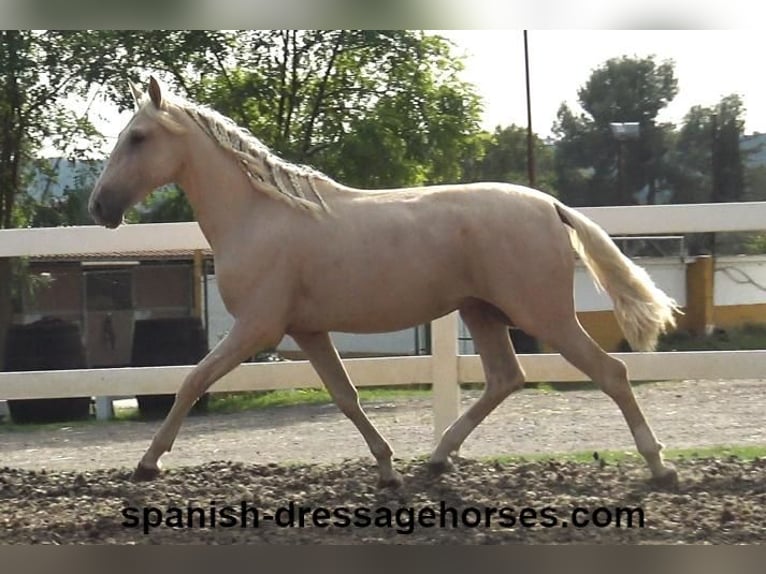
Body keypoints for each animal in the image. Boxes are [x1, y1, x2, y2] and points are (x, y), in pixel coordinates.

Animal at [87, 76, 680, 490]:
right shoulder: (306, 332)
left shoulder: (257, 328)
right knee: (505, 379)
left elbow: (191, 381)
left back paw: (660, 468)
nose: (99, 208)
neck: (258, 215)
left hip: (544, 315)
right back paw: (437, 459)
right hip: (482, 312)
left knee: (611, 372)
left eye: (137, 137)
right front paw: (388, 469)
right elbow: (346, 396)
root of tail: (552, 206)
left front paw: (146, 465)